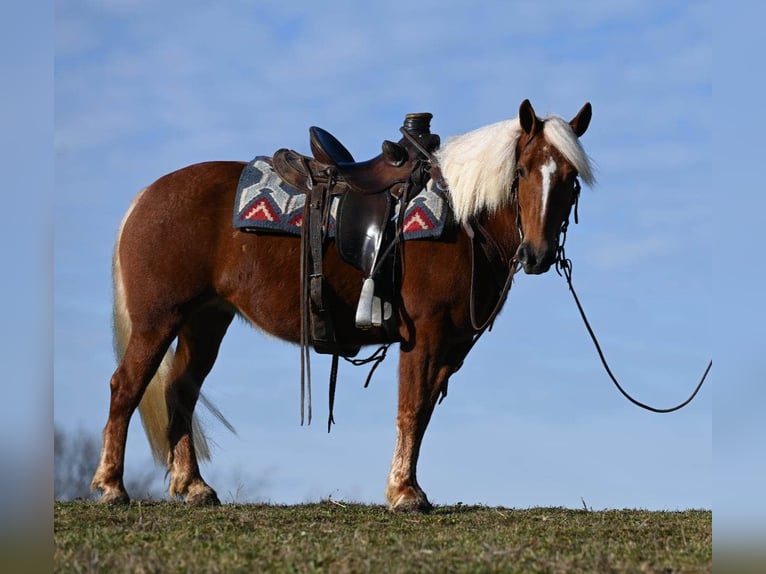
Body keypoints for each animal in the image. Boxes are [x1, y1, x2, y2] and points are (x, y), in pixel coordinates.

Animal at [93, 99, 596, 512]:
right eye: (523, 170)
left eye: (571, 179)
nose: (537, 255)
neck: (460, 217)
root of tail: (145, 198)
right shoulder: (425, 335)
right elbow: (411, 407)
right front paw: (405, 494)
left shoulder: (448, 346)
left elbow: (423, 413)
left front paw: (407, 488)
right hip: (159, 319)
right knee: (126, 386)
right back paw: (112, 486)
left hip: (205, 321)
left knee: (180, 389)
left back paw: (194, 486)